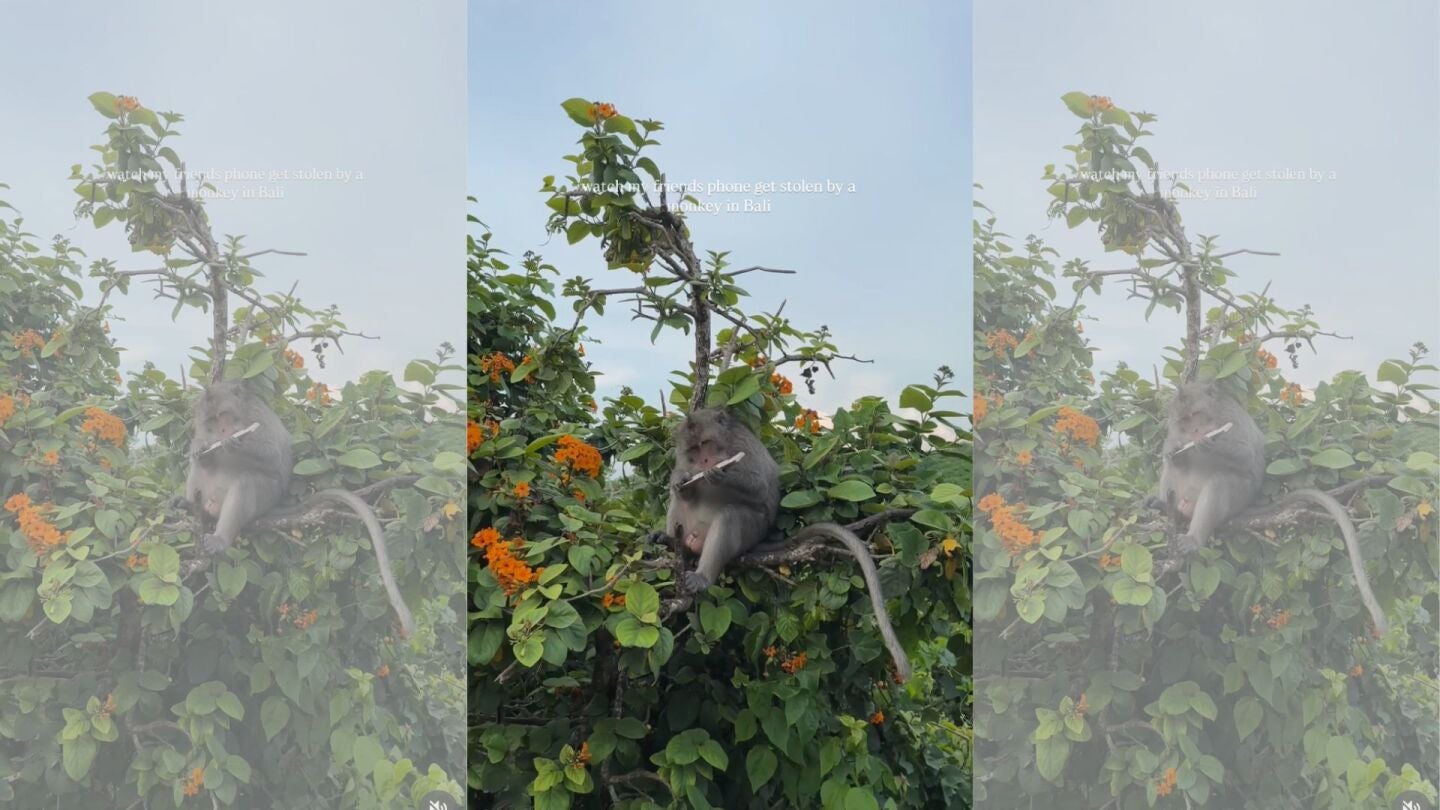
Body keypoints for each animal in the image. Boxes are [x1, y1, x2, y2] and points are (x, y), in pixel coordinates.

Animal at [182, 379, 417, 637]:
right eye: (212, 421)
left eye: (223, 415)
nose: (223, 432)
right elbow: (201, 453)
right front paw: (202, 450)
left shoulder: (256, 416)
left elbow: (272, 454)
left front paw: (234, 444)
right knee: (198, 471)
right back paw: (187, 504)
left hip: (267, 495)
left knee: (247, 481)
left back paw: (220, 538)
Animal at [649, 407, 912, 681]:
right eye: (694, 449)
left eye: (706, 444)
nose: (704, 462)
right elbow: (683, 488)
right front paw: (680, 480)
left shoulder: (741, 445)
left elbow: (758, 484)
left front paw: (719, 475)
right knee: (680, 504)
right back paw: (669, 540)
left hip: (752, 530)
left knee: (731, 515)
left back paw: (703, 576)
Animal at [1158, 379, 1387, 634]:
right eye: (1185, 420)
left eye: (1196, 415)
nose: (1196, 432)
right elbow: (1174, 454)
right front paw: (1175, 451)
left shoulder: (1229, 418)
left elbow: (1246, 454)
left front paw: (1207, 443)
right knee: (1172, 470)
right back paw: (1161, 505)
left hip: (1239, 497)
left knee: (1220, 481)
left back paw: (1194, 538)